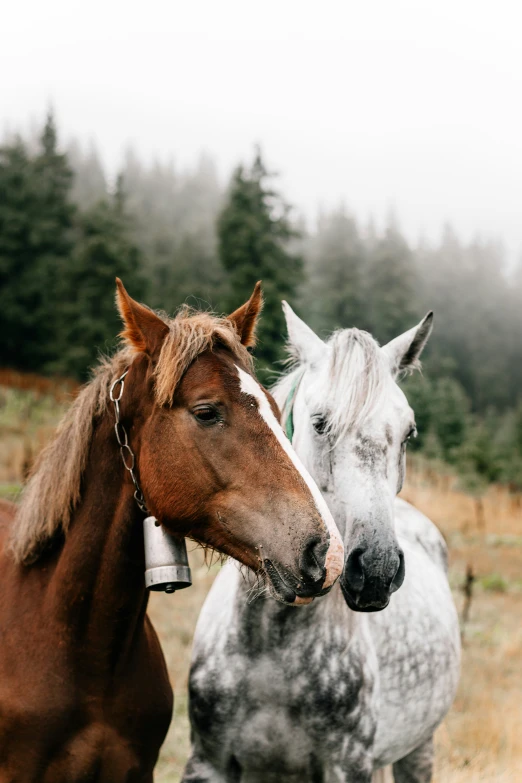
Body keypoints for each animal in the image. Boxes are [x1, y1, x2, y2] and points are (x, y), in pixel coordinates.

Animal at [181, 308, 458, 783]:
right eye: (320, 423)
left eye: (409, 432)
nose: (377, 570)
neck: (270, 647)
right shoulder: (208, 763)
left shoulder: (348, 767)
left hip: (418, 750)